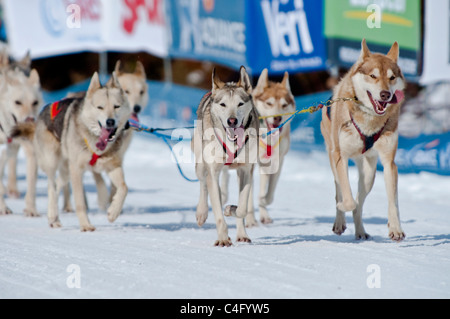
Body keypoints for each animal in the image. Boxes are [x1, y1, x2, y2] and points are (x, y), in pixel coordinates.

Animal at [14, 72, 131, 232]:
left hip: (66, 171)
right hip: (52, 162)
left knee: (58, 184)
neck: (95, 142)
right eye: (100, 107)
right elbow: (80, 202)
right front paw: (86, 225)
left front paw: (113, 212)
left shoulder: (113, 166)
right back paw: (53, 216)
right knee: (51, 187)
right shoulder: (77, 170)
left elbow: (124, 188)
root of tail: (41, 113)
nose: (110, 121)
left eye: (116, 106)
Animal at [192, 66, 258, 248]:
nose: (232, 121)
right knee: (203, 184)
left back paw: (241, 234)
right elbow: (218, 213)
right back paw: (201, 212)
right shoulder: (213, 172)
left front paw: (231, 209)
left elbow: (242, 208)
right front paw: (222, 238)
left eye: (240, 103)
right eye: (223, 104)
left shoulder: (246, 171)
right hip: (201, 165)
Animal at [320, 39, 408, 240]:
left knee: (359, 202)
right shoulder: (341, 157)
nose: (385, 94)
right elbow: (348, 199)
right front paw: (342, 207)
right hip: (334, 159)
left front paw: (395, 228)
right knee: (341, 192)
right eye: (373, 76)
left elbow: (392, 202)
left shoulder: (389, 162)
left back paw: (360, 231)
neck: (369, 120)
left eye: (392, 77)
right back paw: (340, 221)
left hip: (369, 173)